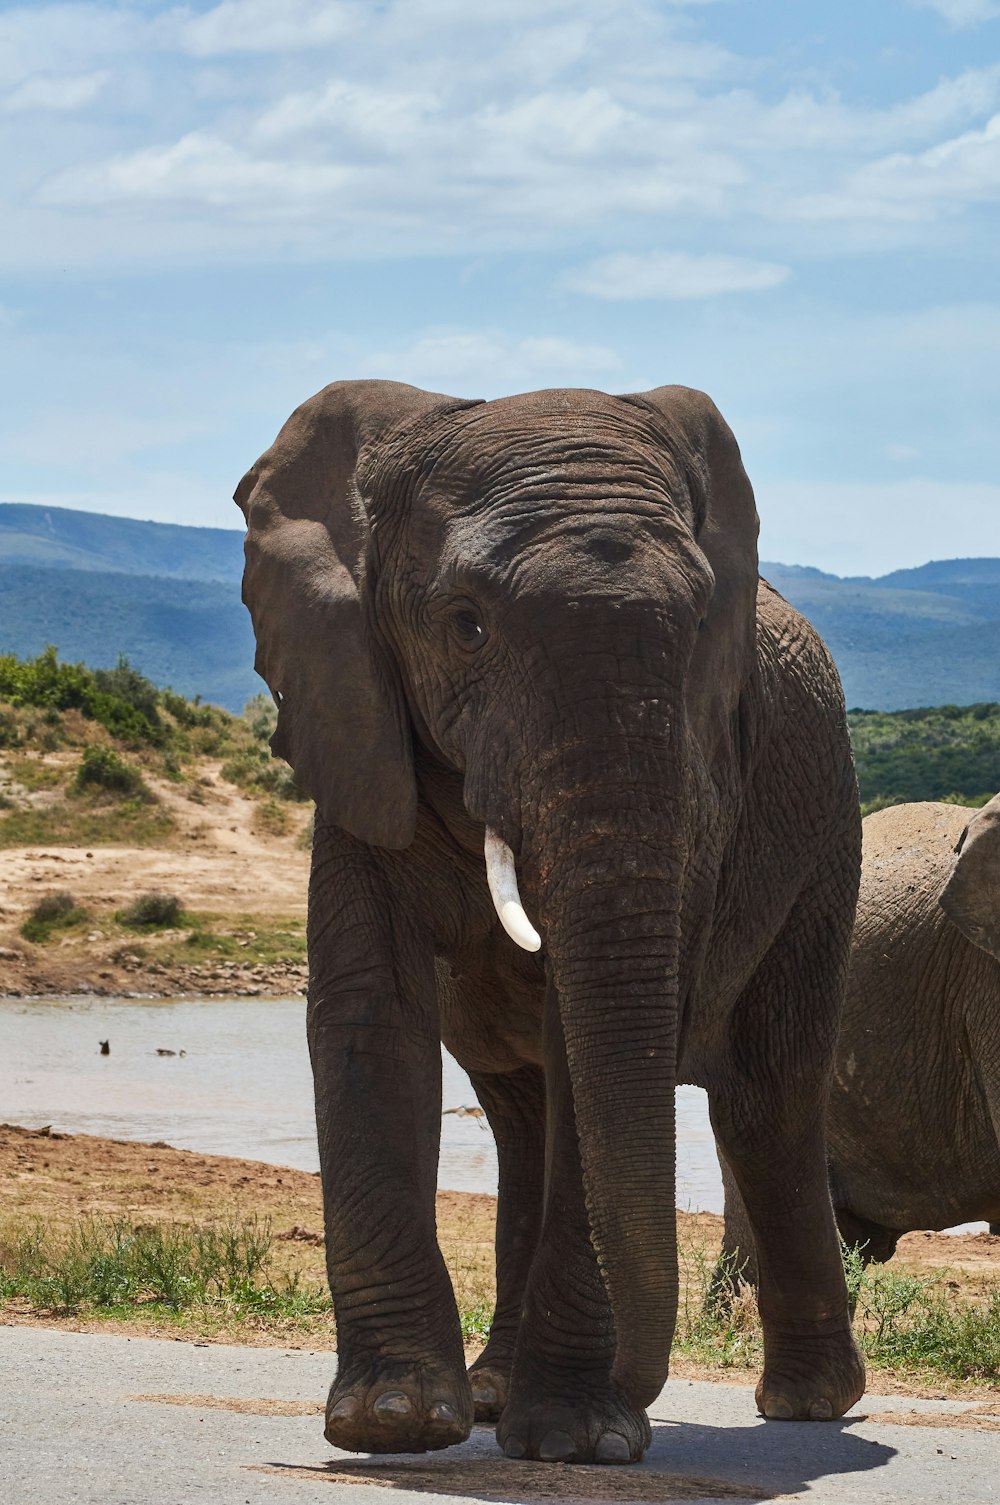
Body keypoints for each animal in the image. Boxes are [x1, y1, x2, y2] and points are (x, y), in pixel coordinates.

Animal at [236, 379, 867, 1468]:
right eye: (465, 625)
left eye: (700, 630)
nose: (643, 1395)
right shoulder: (351, 719)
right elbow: (372, 1013)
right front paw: (393, 1423)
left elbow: (593, 1041)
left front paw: (578, 1438)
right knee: (520, 1112)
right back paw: (492, 1394)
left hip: (825, 831)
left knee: (768, 1097)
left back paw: (807, 1404)